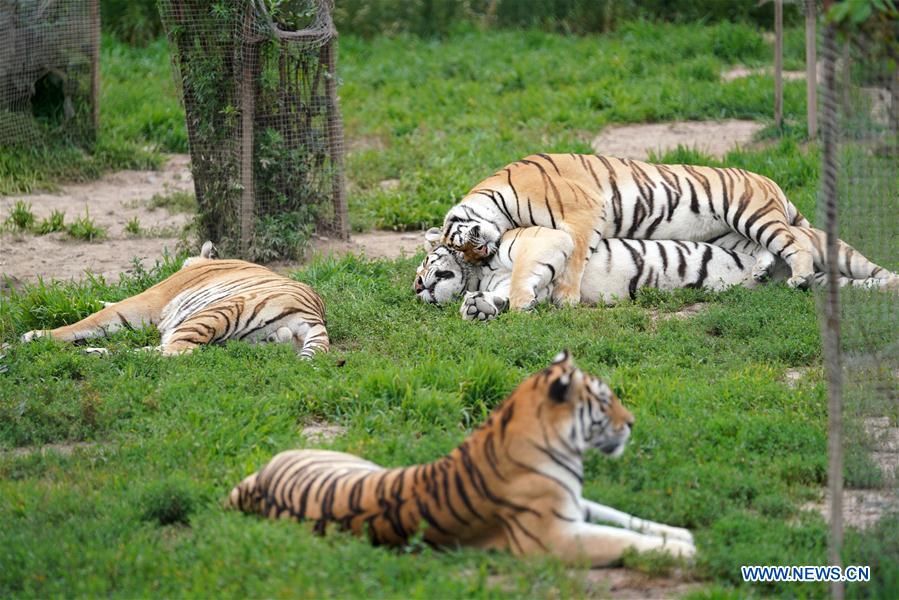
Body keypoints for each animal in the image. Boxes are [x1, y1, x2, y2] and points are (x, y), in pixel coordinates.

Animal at [21, 243, 330, 358]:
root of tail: (314, 316)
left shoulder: (149, 300)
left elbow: (87, 322)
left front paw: (36, 335)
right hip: (251, 339)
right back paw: (95, 352)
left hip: (215, 311)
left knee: (175, 351)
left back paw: (93, 354)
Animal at [230, 350, 696, 564]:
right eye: (604, 400)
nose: (632, 422)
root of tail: (258, 478)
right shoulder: (552, 538)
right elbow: (622, 539)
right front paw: (686, 551)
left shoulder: (576, 504)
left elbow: (627, 518)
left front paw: (681, 533)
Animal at [440, 152, 828, 308]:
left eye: (462, 246)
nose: (481, 253)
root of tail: (770, 181)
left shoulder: (584, 214)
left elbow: (575, 259)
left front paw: (566, 299)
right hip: (729, 232)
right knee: (765, 248)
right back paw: (762, 271)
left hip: (750, 213)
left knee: (793, 242)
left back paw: (800, 278)